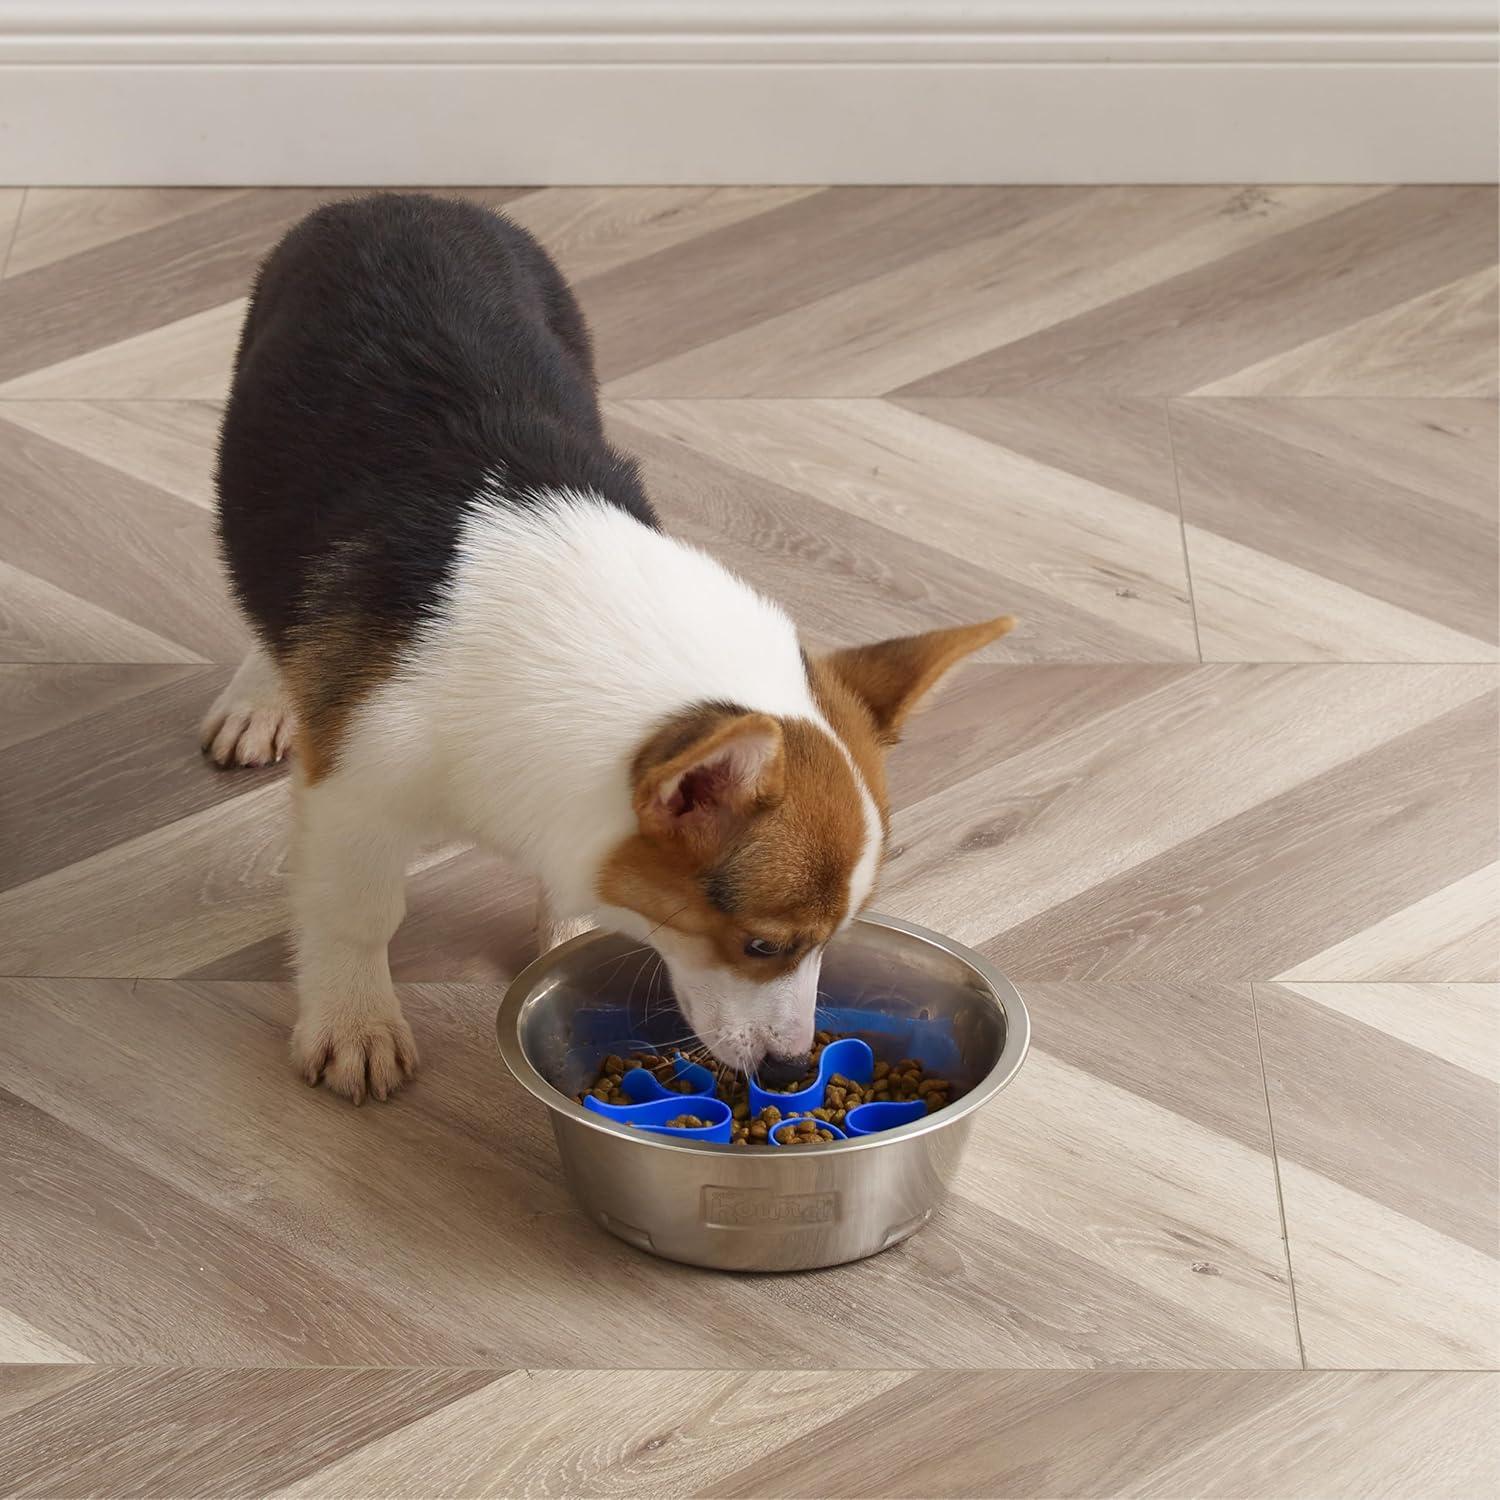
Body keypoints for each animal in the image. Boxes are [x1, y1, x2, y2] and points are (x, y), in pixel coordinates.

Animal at [205, 193, 1014, 1104]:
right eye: (763, 945)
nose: (789, 1068)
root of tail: (401, 202)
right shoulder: (356, 795)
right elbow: (356, 914)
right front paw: (354, 1024)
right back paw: (259, 697)